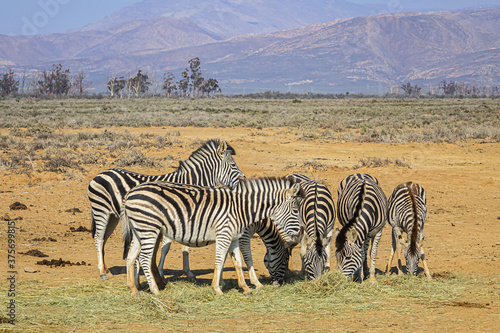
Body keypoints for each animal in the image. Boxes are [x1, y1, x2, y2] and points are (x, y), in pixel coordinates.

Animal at [87, 139, 244, 278]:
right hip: (101, 210)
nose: (243, 180)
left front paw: (188, 272)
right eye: (233, 164)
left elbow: (185, 246)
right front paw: (161, 272)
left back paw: (106, 270)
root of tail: (102, 173)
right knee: (98, 238)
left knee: (103, 238)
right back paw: (102, 272)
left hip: (112, 216)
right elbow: (166, 247)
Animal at [121, 175, 302, 294]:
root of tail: (130, 193)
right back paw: (155, 290)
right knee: (144, 258)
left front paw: (244, 288)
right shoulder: (227, 234)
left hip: (139, 230)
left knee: (131, 256)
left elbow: (237, 261)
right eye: (295, 210)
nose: (301, 231)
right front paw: (218, 288)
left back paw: (134, 288)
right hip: (149, 228)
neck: (242, 209)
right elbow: (226, 260)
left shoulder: (234, 237)